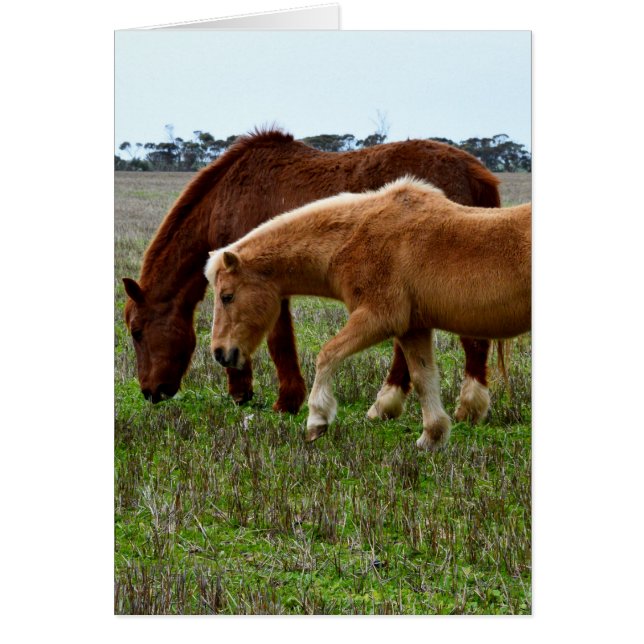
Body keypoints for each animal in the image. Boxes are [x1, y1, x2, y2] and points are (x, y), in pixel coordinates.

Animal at [122, 128, 501, 422]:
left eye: (137, 332)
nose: (150, 392)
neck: (227, 196)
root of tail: (473, 170)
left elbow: (278, 341)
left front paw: (283, 400)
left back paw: (465, 406)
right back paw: (390, 404)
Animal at [205, 177, 531, 450]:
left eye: (227, 296)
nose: (220, 353)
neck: (356, 236)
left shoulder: (378, 318)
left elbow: (327, 354)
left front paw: (316, 420)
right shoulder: (413, 329)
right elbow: (423, 377)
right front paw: (432, 437)